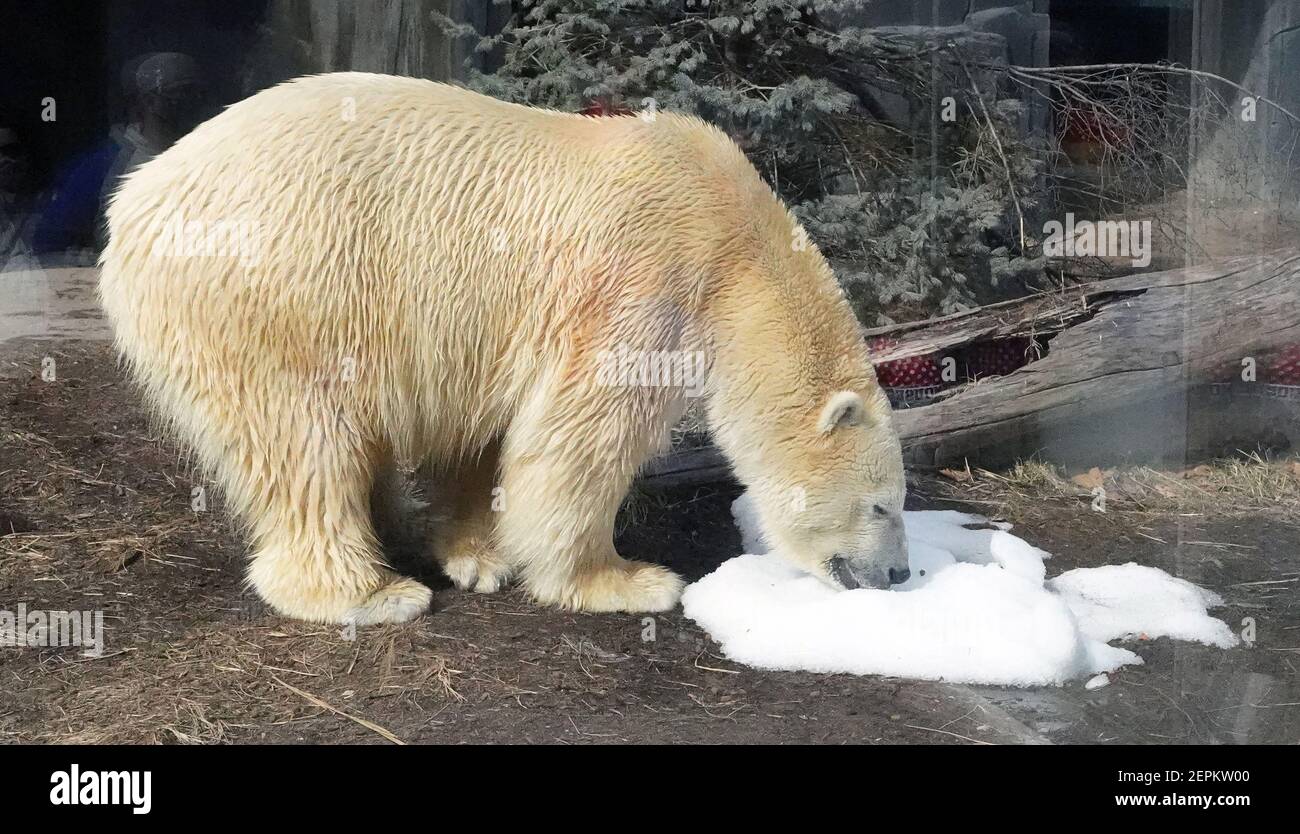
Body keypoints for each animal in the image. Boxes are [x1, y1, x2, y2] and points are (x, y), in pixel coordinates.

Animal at [98, 73, 904, 623]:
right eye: (883, 506)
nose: (898, 577)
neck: (736, 249)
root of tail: (132, 206)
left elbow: (487, 434)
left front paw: (479, 557)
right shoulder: (643, 282)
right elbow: (581, 439)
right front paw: (627, 579)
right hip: (279, 296)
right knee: (305, 441)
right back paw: (371, 592)